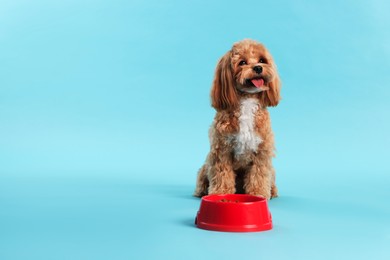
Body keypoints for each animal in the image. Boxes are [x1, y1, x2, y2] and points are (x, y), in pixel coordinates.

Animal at [194, 39, 280, 200]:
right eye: (242, 62)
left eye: (262, 60)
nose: (258, 68)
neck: (247, 99)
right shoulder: (221, 150)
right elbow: (222, 174)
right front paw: (221, 192)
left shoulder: (262, 151)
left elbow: (258, 175)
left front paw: (258, 193)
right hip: (205, 166)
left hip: (271, 171)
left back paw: (272, 191)